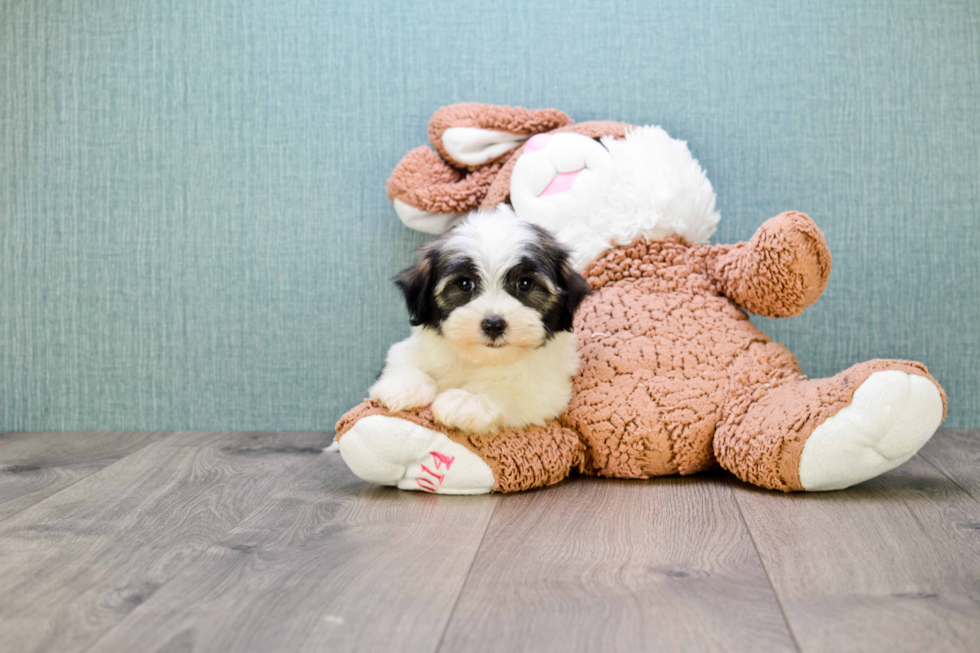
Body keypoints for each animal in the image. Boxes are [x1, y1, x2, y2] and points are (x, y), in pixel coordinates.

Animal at [372, 204, 592, 432]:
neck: (481, 359)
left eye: (525, 284)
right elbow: (400, 357)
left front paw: (468, 399)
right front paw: (406, 385)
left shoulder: (546, 391)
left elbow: (508, 388)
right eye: (464, 284)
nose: (494, 324)